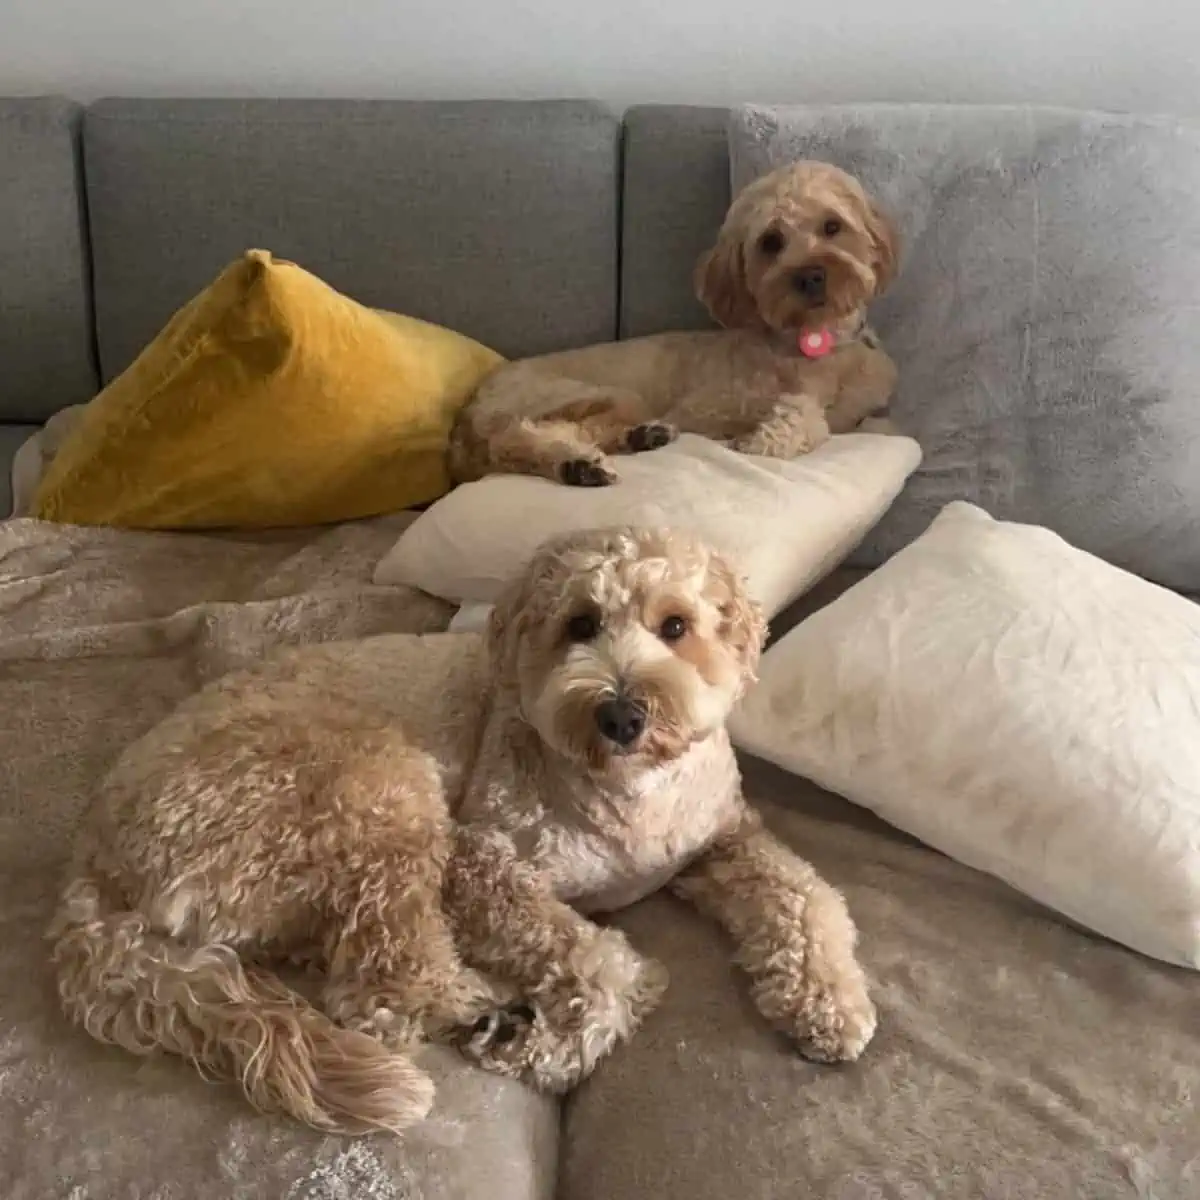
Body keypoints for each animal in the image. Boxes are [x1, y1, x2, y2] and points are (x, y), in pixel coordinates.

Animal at [51, 525, 878, 1132]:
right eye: (579, 624)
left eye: (676, 626)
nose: (620, 713)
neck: (627, 793)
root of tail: (91, 864)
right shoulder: (484, 864)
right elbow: (610, 966)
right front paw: (552, 1047)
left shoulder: (725, 840)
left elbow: (805, 895)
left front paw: (831, 1003)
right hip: (376, 788)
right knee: (381, 988)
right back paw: (490, 1015)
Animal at [451, 159, 902, 487]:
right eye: (770, 242)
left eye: (832, 226)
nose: (810, 276)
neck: (819, 346)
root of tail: (470, 408)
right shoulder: (708, 408)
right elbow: (801, 411)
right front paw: (769, 437)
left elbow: (871, 423)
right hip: (592, 394)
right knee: (517, 438)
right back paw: (577, 464)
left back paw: (636, 440)